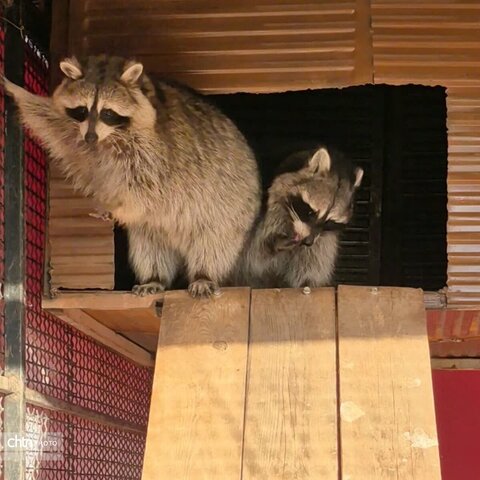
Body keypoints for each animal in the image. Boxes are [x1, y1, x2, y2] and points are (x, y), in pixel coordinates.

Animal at [1, 56, 260, 296]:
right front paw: (18, 92)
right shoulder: (77, 134)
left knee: (213, 241)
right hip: (154, 230)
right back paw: (155, 278)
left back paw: (204, 273)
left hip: (229, 205)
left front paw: (118, 206)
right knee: (150, 248)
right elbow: (54, 127)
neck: (108, 138)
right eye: (82, 110)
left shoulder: (159, 151)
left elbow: (148, 189)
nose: (91, 137)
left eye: (107, 112)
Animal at [233, 145, 364, 288]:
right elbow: (258, 249)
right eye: (311, 212)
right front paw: (273, 243)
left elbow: (316, 254)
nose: (308, 242)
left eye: (329, 222)